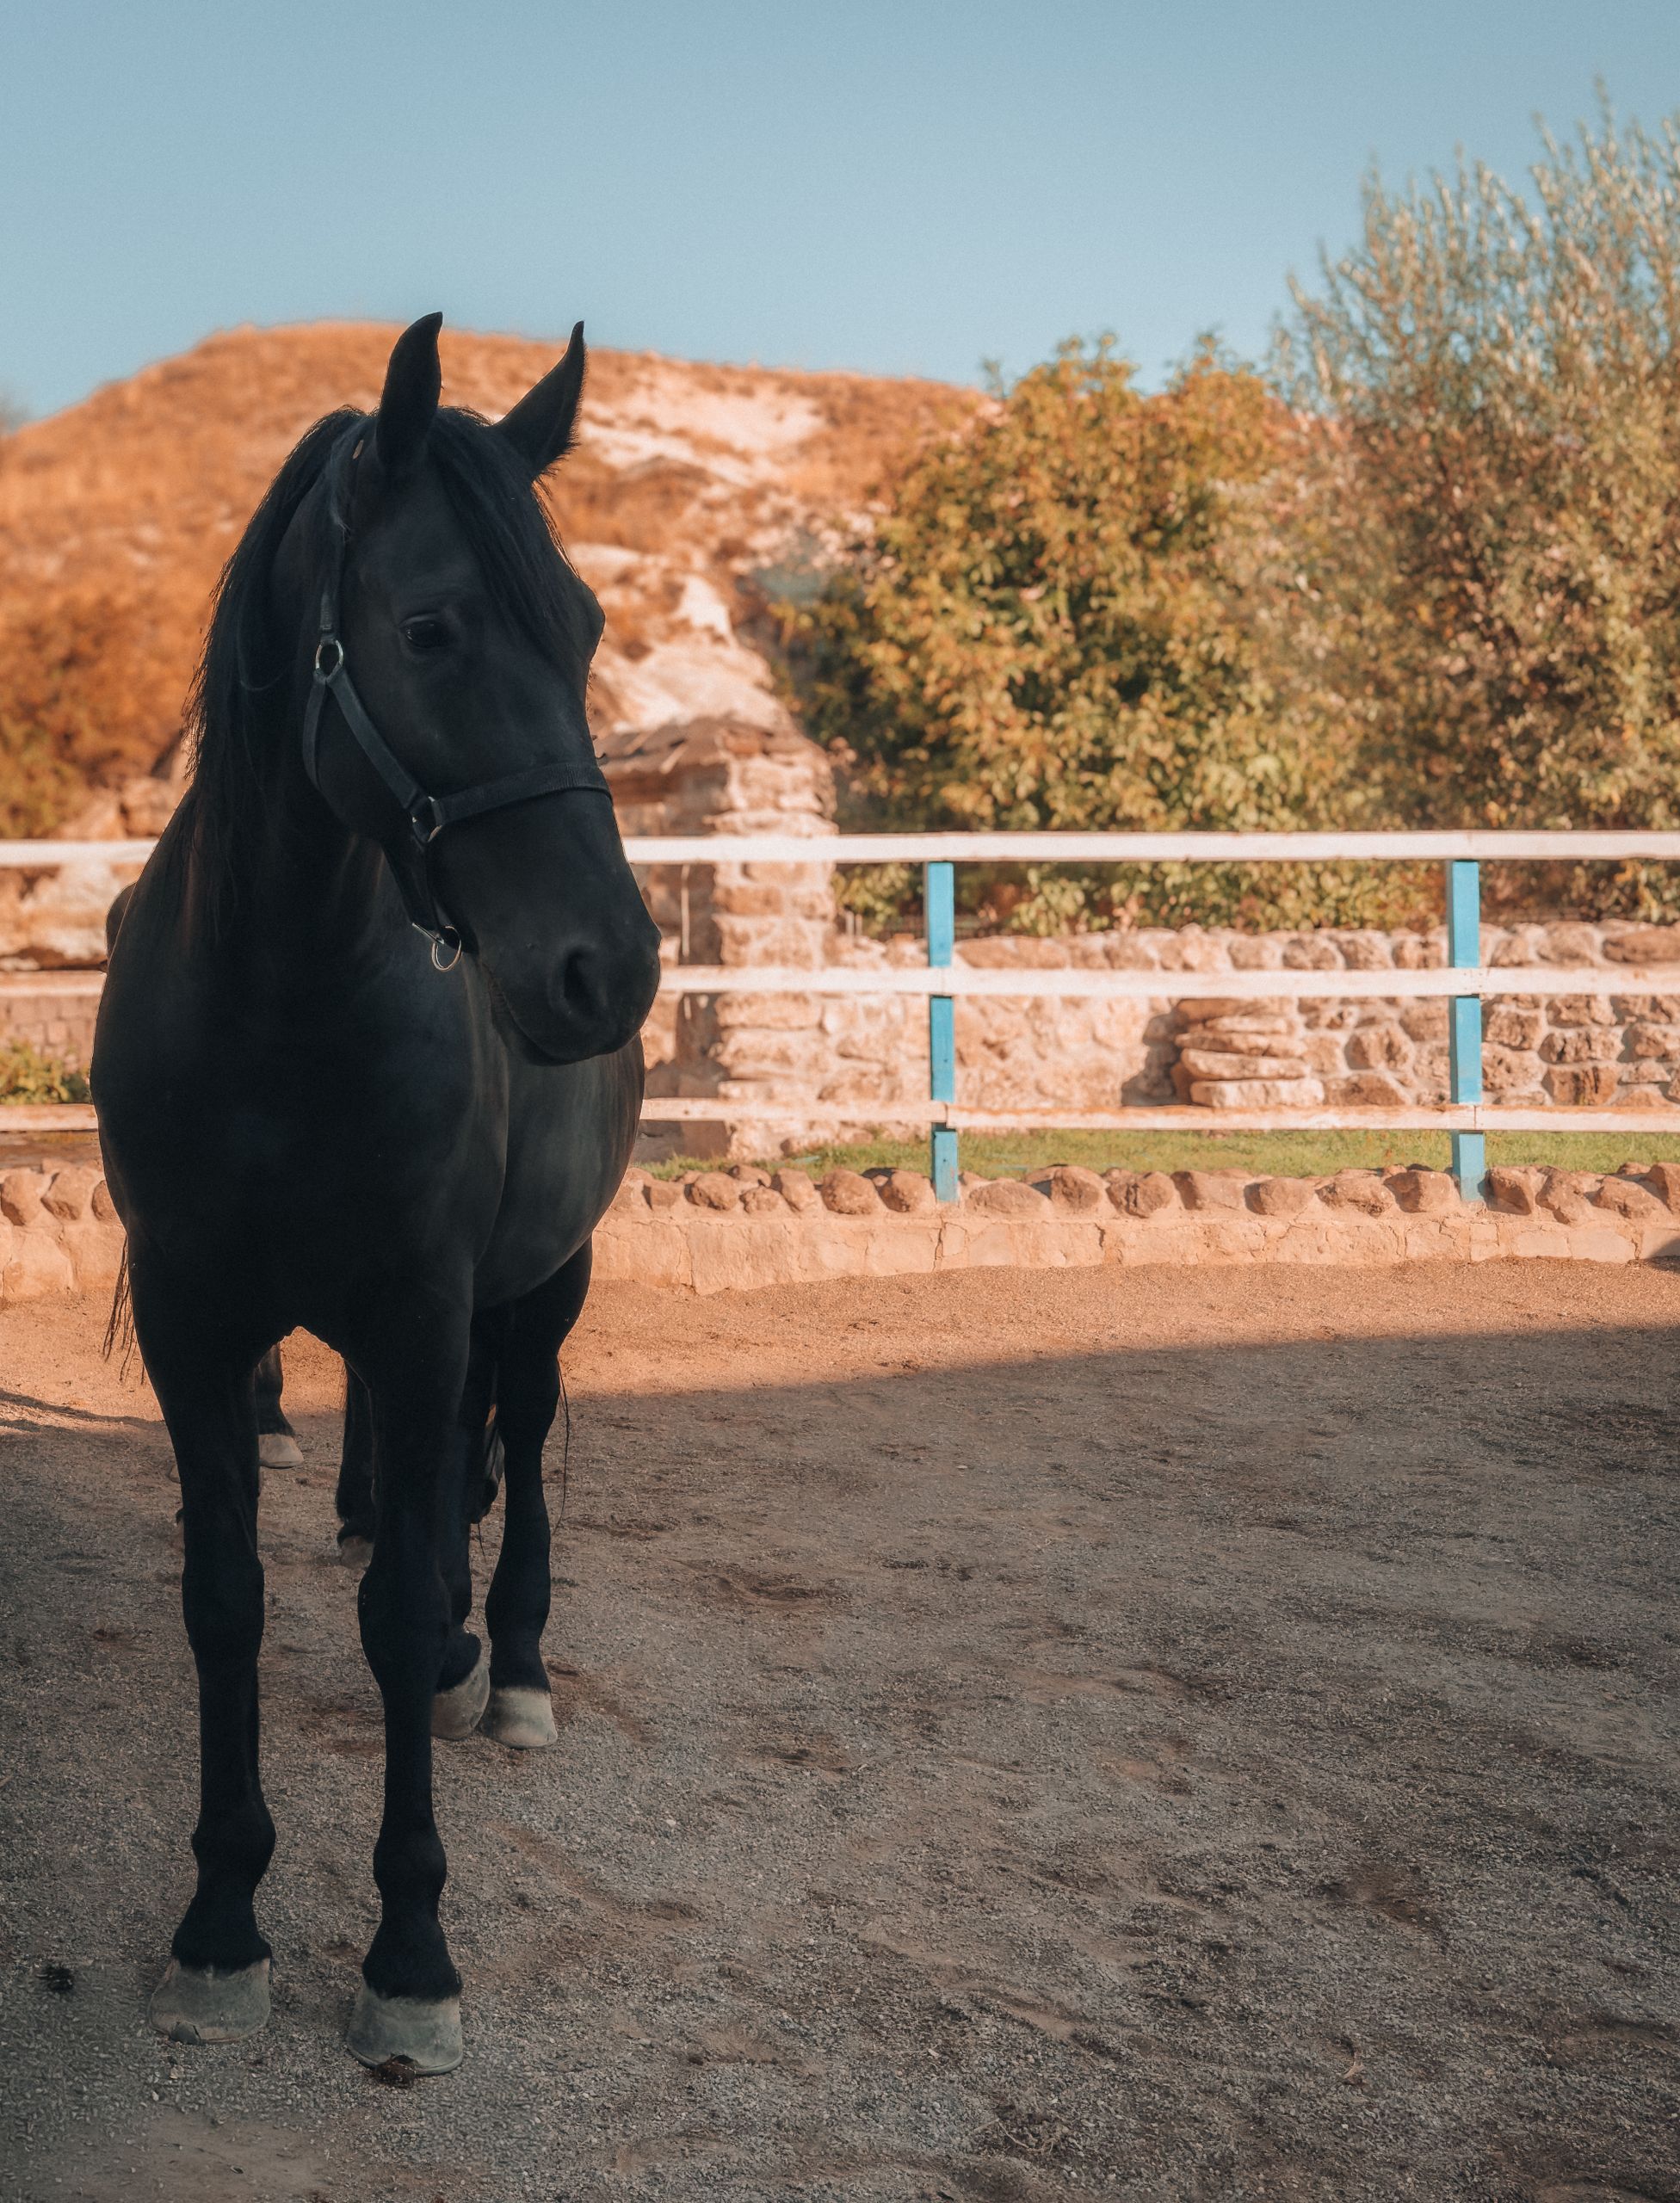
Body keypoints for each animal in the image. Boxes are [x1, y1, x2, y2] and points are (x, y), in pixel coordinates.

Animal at [91, 313, 662, 2075]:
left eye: (588, 627)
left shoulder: (421, 1313)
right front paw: (220, 1920)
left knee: (519, 1454)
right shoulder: (200, 1323)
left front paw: (412, 1954)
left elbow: (406, 1607)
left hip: (541, 1291)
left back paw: (516, 1662)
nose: (609, 968)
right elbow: (226, 1601)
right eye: (429, 628)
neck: (279, 1006)